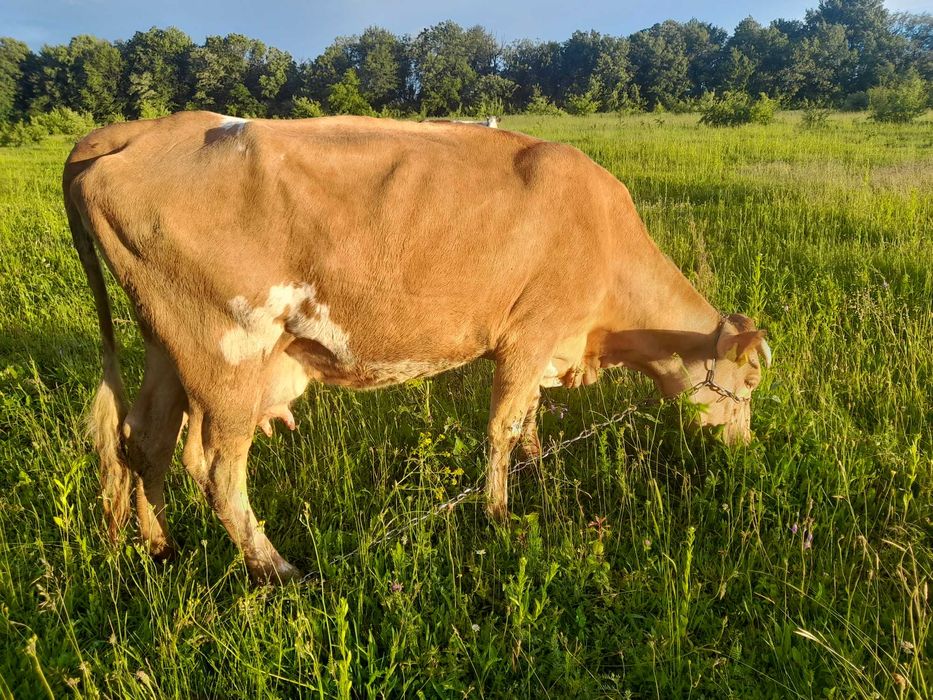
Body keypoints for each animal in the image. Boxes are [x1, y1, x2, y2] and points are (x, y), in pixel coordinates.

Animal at [63, 111, 771, 584]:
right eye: (749, 383)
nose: (745, 449)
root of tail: (142, 131)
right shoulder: (529, 333)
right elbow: (503, 425)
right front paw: (500, 515)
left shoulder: (542, 347)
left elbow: (529, 420)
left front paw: (538, 471)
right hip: (226, 351)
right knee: (213, 468)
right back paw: (279, 568)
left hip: (166, 342)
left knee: (144, 441)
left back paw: (161, 548)